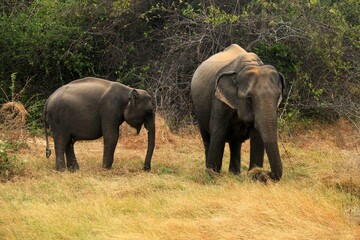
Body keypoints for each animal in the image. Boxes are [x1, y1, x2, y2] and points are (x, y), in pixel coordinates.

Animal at [190, 44, 286, 181]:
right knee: (207, 138)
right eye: (249, 98)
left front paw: (254, 176)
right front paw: (213, 177)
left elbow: (257, 137)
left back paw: (235, 174)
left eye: (278, 97)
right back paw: (210, 172)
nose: (265, 173)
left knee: (235, 143)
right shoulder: (219, 102)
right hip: (199, 109)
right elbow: (218, 134)